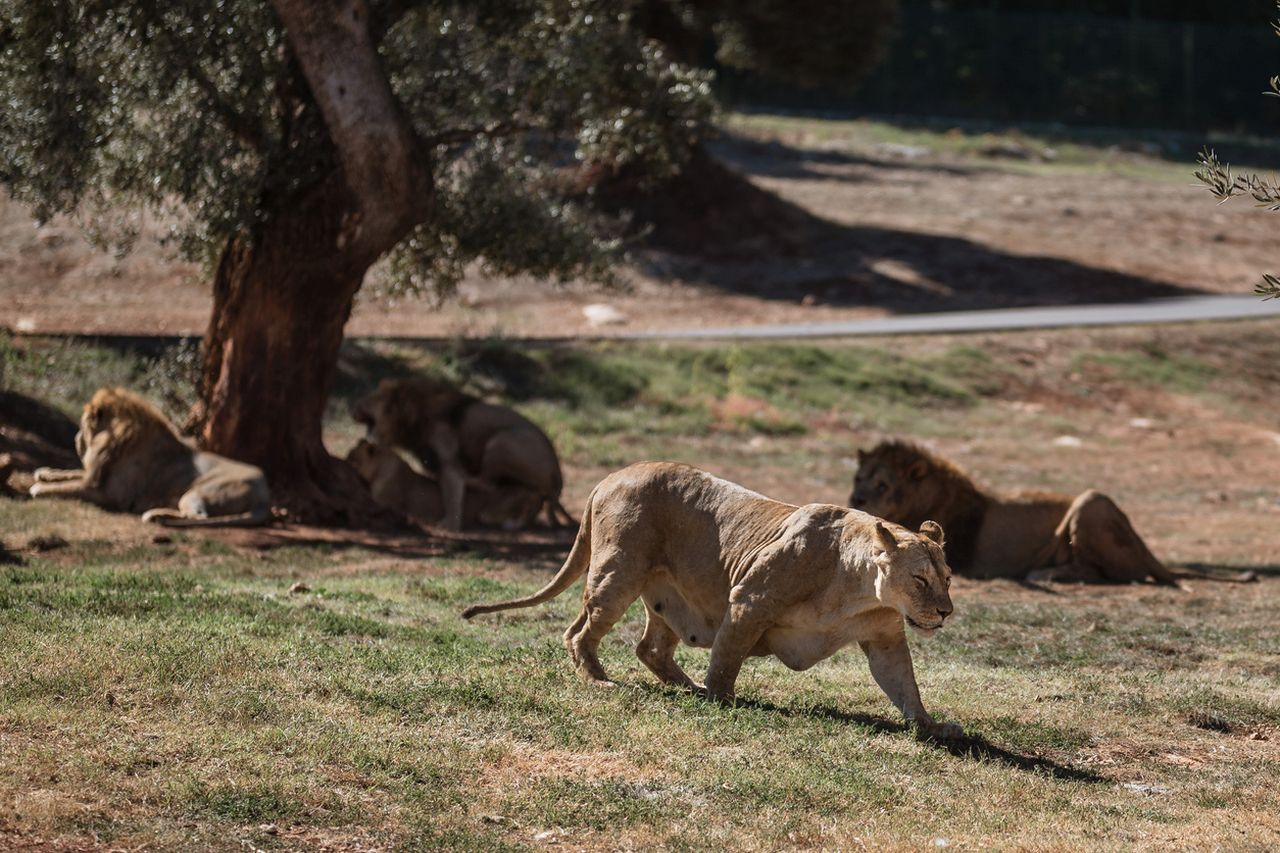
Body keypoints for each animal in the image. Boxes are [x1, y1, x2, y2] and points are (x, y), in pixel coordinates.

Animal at [26, 386, 270, 525]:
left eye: (83, 425)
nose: (75, 439)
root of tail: (265, 494)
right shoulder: (95, 475)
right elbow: (71, 474)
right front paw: (46, 472)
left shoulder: (108, 493)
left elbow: (64, 488)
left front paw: (40, 487)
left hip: (200, 491)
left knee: (198, 516)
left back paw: (156, 515)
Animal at [463, 461, 962, 732]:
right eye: (920, 579)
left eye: (948, 578)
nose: (945, 612)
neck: (860, 589)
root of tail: (611, 476)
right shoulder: (748, 600)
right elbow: (727, 656)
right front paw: (721, 698)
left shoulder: (884, 637)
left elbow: (904, 685)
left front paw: (934, 727)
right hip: (618, 572)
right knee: (578, 631)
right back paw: (601, 681)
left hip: (664, 597)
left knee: (649, 648)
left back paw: (685, 686)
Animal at [855, 438, 1254, 584]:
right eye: (858, 478)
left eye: (882, 485)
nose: (856, 500)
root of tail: (1144, 544)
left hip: (1091, 501)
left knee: (1110, 573)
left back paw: (1045, 573)